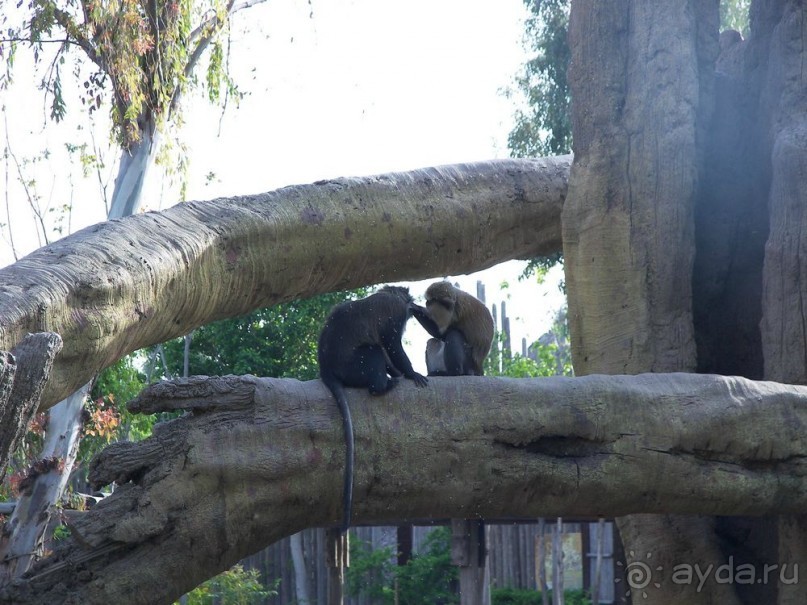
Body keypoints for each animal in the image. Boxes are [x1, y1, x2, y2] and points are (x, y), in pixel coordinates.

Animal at [318, 286, 430, 532]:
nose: (413, 308)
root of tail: (326, 368)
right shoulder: (395, 316)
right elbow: (391, 346)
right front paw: (411, 373)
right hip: (354, 366)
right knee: (375, 351)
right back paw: (382, 386)